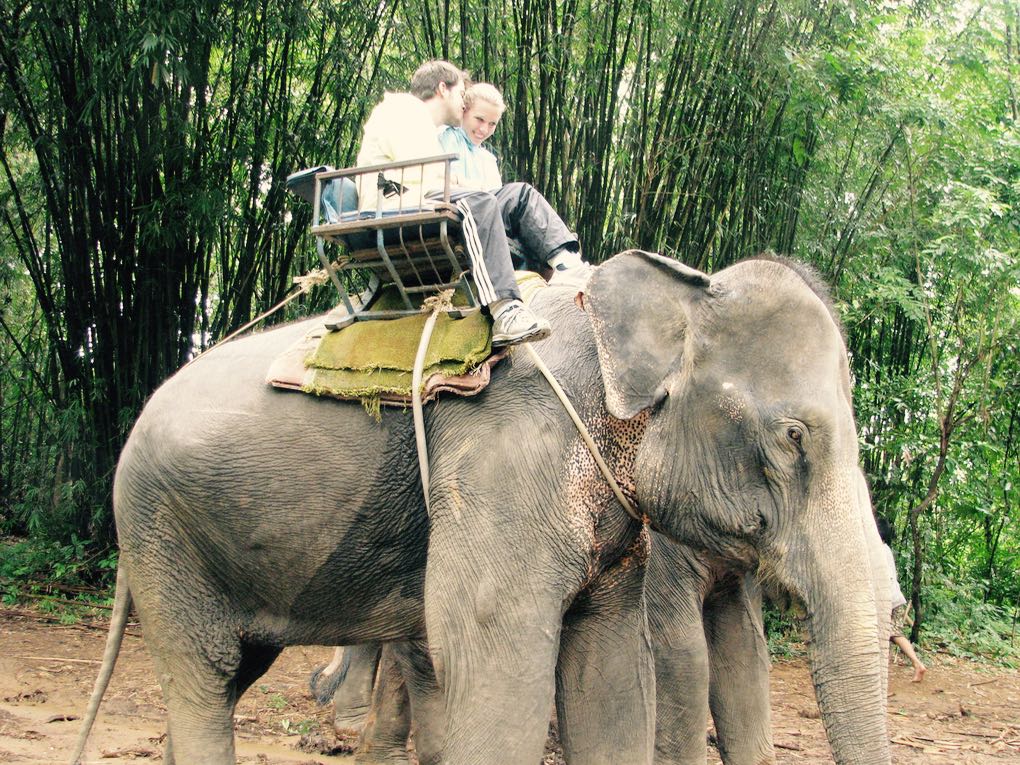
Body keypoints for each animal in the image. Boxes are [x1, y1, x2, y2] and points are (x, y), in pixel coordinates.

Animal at [72, 250, 890, 765]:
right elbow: (504, 666)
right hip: (161, 533)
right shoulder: (506, 465)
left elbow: (614, 672)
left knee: (229, 674)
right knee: (205, 678)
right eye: (793, 437)